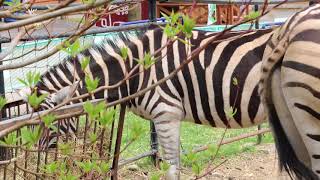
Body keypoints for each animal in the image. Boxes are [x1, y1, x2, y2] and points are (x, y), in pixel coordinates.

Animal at [15, 25, 276, 179]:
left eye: (49, 124)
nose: (40, 162)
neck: (136, 72)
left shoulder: (165, 114)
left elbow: (171, 167)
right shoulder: (169, 118)